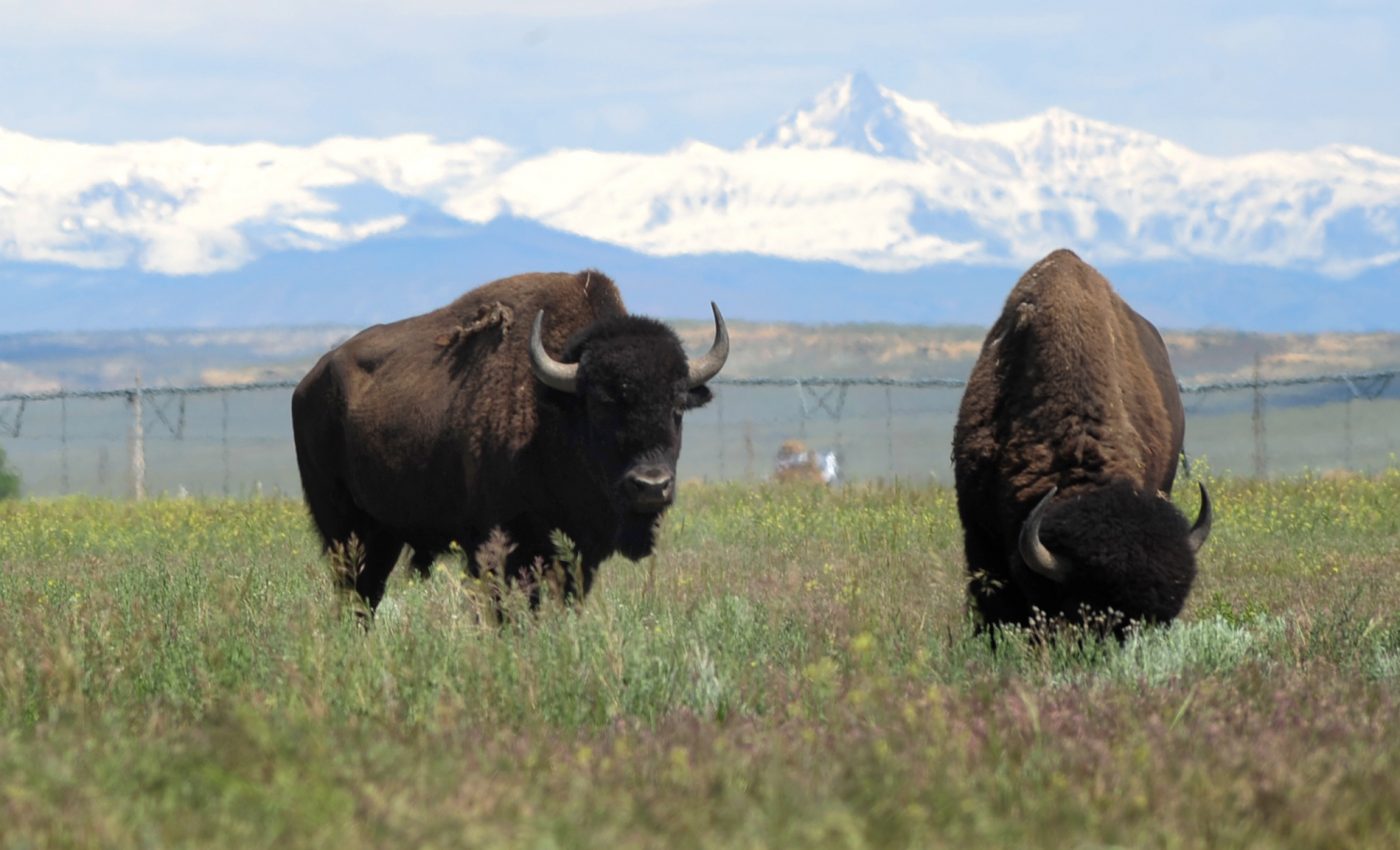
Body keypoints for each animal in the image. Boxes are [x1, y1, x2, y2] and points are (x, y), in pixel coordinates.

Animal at [292, 270, 727, 612]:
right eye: (601, 404)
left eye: (677, 405)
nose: (651, 486)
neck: (556, 408)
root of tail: (307, 384)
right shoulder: (498, 549)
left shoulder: (578, 554)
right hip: (342, 528)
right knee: (353, 590)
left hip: (384, 531)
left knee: (368, 592)